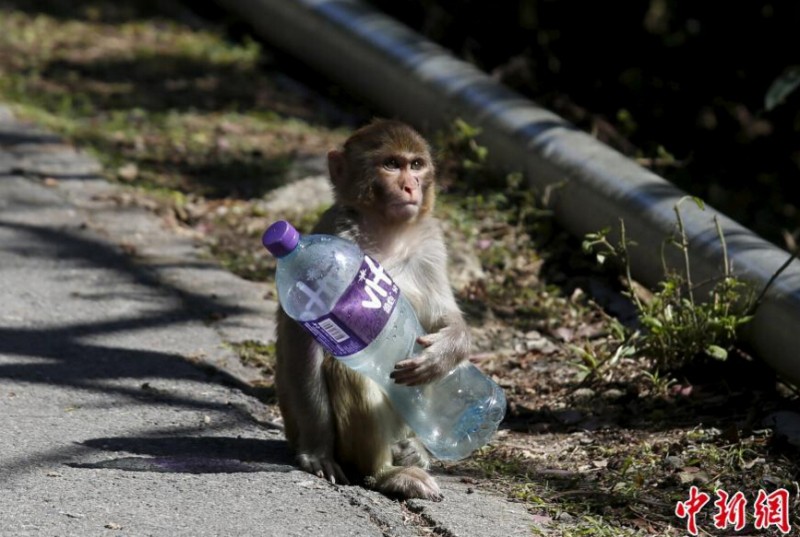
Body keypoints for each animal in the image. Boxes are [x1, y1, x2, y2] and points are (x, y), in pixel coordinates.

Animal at [278, 119, 472, 500]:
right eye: (391, 165)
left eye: (416, 165)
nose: (411, 185)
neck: (388, 236)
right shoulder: (330, 240)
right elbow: (302, 350)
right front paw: (316, 451)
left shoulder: (431, 243)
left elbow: (443, 317)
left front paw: (445, 350)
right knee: (347, 369)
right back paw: (387, 473)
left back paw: (417, 449)